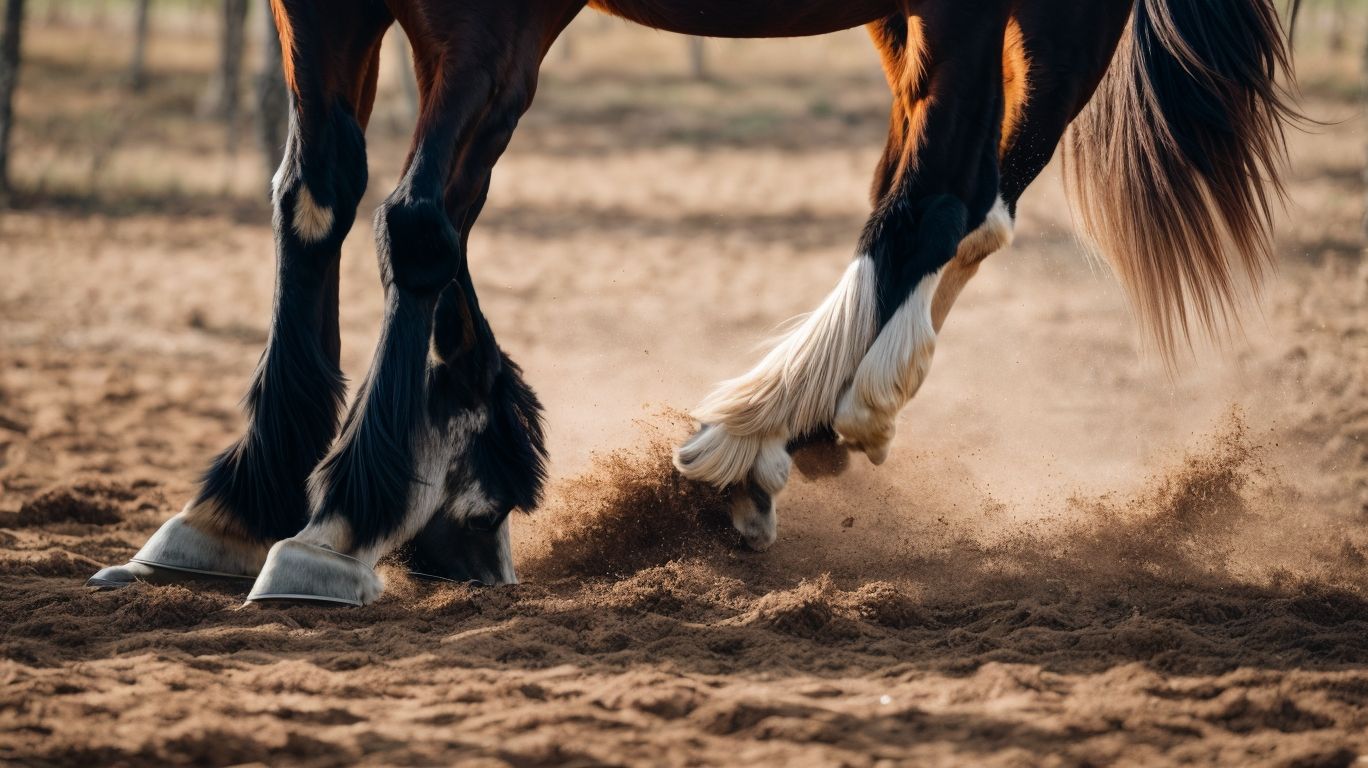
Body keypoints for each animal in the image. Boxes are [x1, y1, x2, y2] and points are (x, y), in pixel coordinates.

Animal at [87, 0, 1300, 606]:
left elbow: (423, 216)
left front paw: (344, 520)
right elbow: (324, 194)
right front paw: (259, 500)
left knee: (955, 200)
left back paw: (762, 428)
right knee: (940, 179)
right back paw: (798, 433)